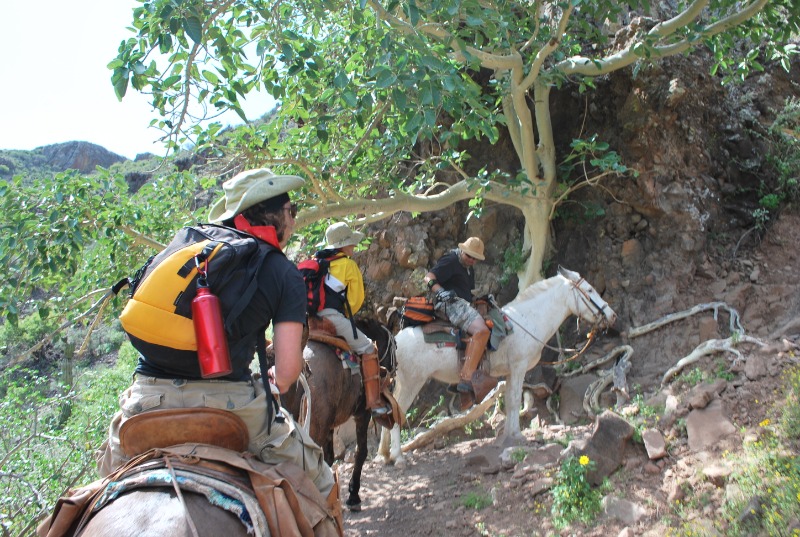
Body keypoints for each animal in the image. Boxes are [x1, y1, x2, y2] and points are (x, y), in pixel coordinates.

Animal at [281, 318, 396, 512]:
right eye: (395, 346)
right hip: (314, 429)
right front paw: (353, 494)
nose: (393, 383)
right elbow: (361, 452)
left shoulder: (329, 426)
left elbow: (329, 458)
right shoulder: (362, 414)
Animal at [377, 266, 617, 466]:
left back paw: (385, 455)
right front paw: (518, 436)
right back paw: (398, 458)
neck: (527, 320)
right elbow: (514, 401)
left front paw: (509, 436)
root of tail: (395, 338)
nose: (612, 315)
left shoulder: (510, 372)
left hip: (403, 382)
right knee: (398, 412)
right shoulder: (519, 367)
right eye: (589, 290)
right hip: (412, 382)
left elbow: (510, 402)